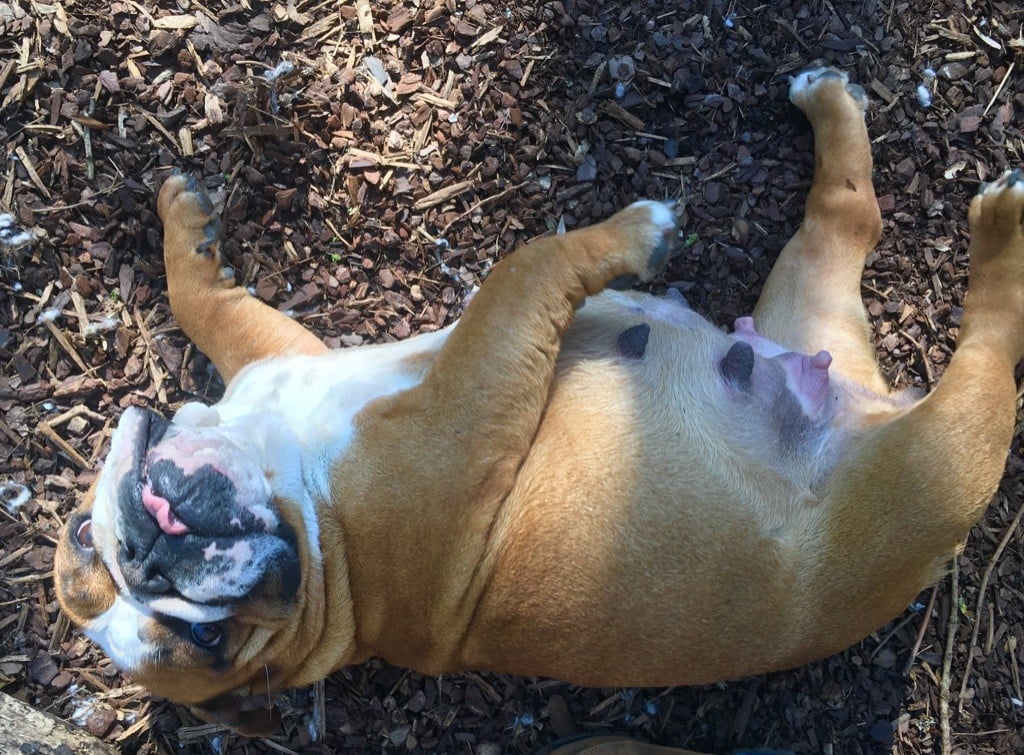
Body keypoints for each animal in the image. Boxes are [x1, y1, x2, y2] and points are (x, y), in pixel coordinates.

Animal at [49, 67, 1024, 733]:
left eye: (80, 540)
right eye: (208, 646)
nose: (152, 554)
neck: (318, 533)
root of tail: (864, 405)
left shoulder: (280, 352)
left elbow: (206, 301)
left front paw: (182, 222)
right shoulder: (476, 395)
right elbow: (525, 268)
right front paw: (634, 233)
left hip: (813, 302)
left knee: (848, 216)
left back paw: (829, 105)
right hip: (944, 454)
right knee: (990, 348)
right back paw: (999, 223)